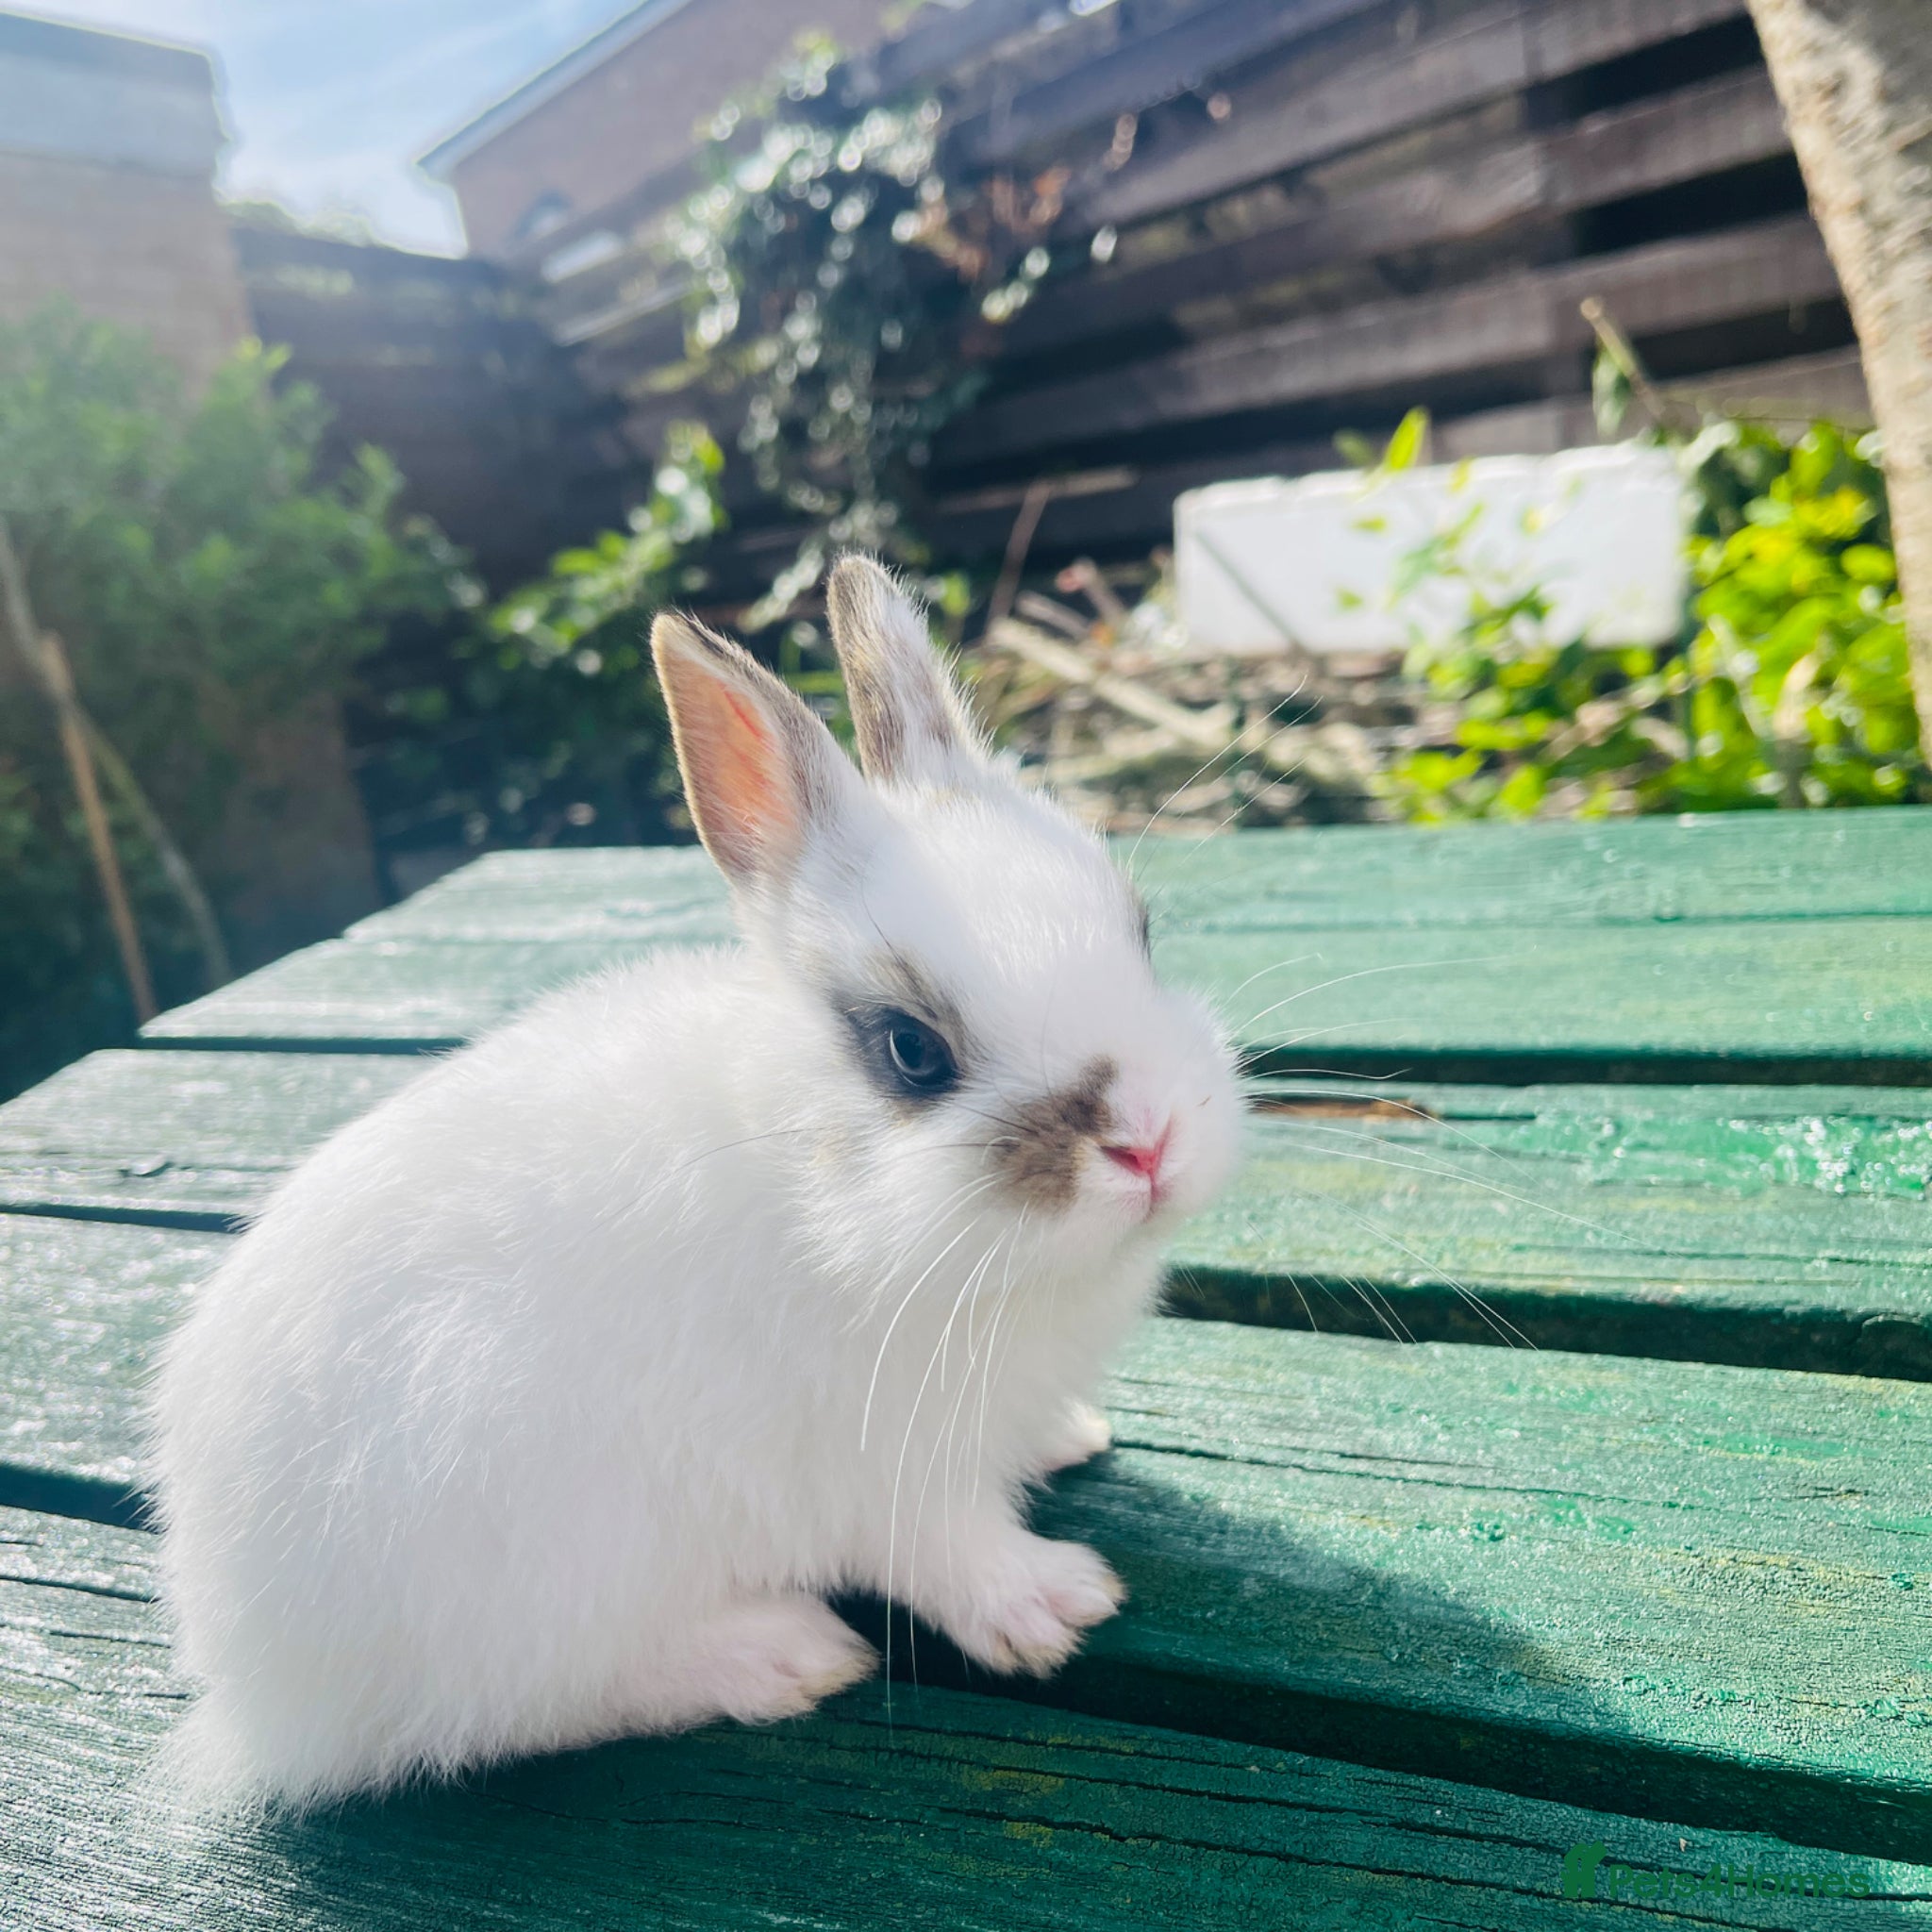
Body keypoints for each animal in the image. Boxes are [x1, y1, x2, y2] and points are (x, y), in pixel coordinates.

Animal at [149, 555, 1244, 1809]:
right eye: (910, 1050)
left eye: (1140, 931)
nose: (1149, 1141)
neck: (821, 1189)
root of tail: (250, 1683)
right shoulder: (882, 1469)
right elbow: (948, 1550)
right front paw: (1057, 1603)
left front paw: (1069, 1438)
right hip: (545, 1568)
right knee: (531, 1706)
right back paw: (780, 1652)